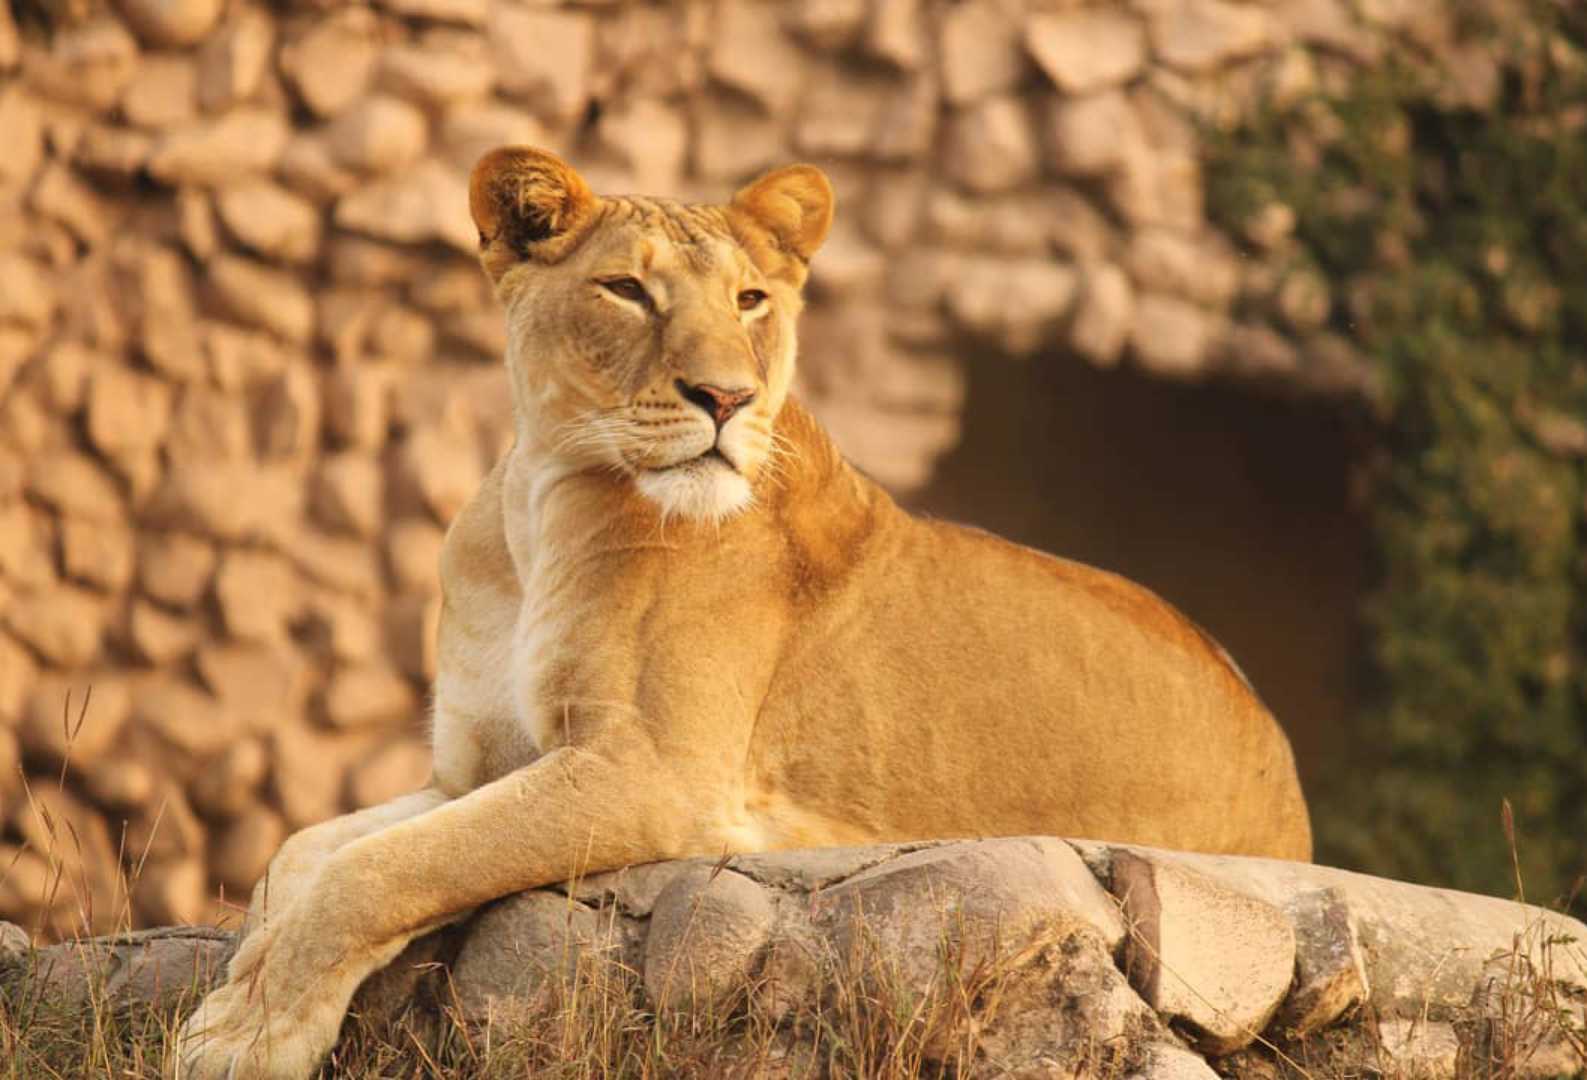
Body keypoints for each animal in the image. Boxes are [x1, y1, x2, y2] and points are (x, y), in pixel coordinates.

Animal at [175, 147, 1311, 1079]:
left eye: (752, 300)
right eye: (627, 290)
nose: (723, 399)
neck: (543, 502)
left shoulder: (650, 771)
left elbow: (387, 868)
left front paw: (246, 1033)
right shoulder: (471, 766)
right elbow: (304, 855)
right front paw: (247, 979)